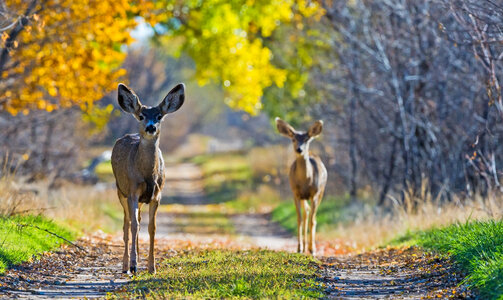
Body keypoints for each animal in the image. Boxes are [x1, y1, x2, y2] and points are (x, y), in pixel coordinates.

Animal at [111, 82, 186, 274]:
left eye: (159, 116)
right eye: (141, 116)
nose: (151, 127)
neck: (147, 175)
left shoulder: (156, 195)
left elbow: (152, 228)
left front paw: (152, 267)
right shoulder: (132, 192)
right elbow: (133, 226)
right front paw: (133, 265)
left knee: (137, 220)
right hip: (120, 190)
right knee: (127, 223)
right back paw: (126, 265)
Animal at [276, 117, 326, 255]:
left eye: (306, 139)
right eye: (293, 139)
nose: (299, 149)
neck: (305, 182)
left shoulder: (315, 193)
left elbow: (313, 221)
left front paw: (312, 249)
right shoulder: (295, 193)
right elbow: (299, 219)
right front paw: (299, 247)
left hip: (321, 191)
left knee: (310, 215)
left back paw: (310, 247)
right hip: (303, 197)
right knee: (305, 213)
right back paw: (303, 247)